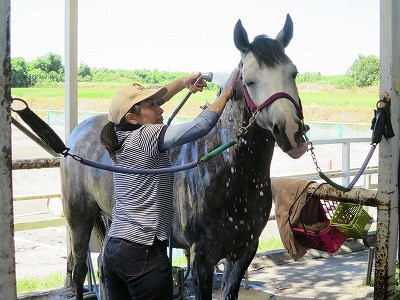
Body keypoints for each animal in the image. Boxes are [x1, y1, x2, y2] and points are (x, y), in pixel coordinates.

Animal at [61, 14, 306, 300]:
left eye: (293, 72)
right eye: (250, 80)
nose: (290, 132)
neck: (224, 169)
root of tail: (78, 132)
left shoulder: (244, 251)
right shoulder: (202, 258)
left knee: (102, 266)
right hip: (79, 219)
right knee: (79, 270)